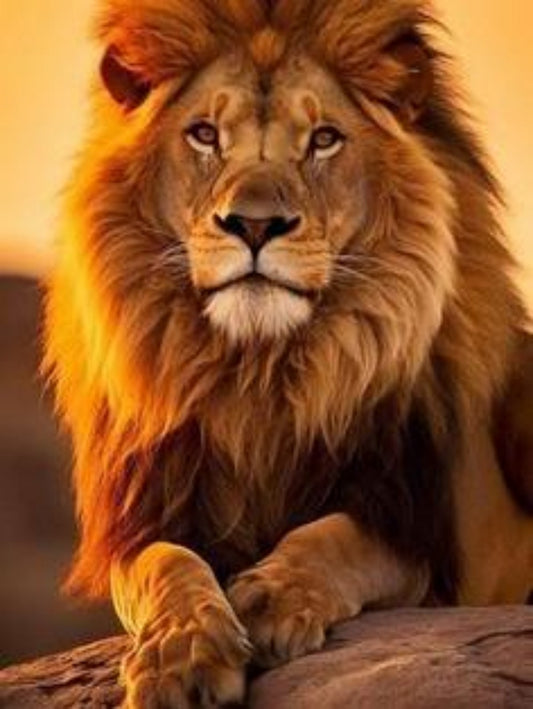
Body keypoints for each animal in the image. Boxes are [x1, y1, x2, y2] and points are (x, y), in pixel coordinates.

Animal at [43, 0, 532, 706]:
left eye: (323, 139)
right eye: (204, 135)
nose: (253, 224)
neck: (261, 375)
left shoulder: (419, 531)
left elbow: (335, 538)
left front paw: (270, 598)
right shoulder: (148, 517)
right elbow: (167, 566)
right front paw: (180, 655)